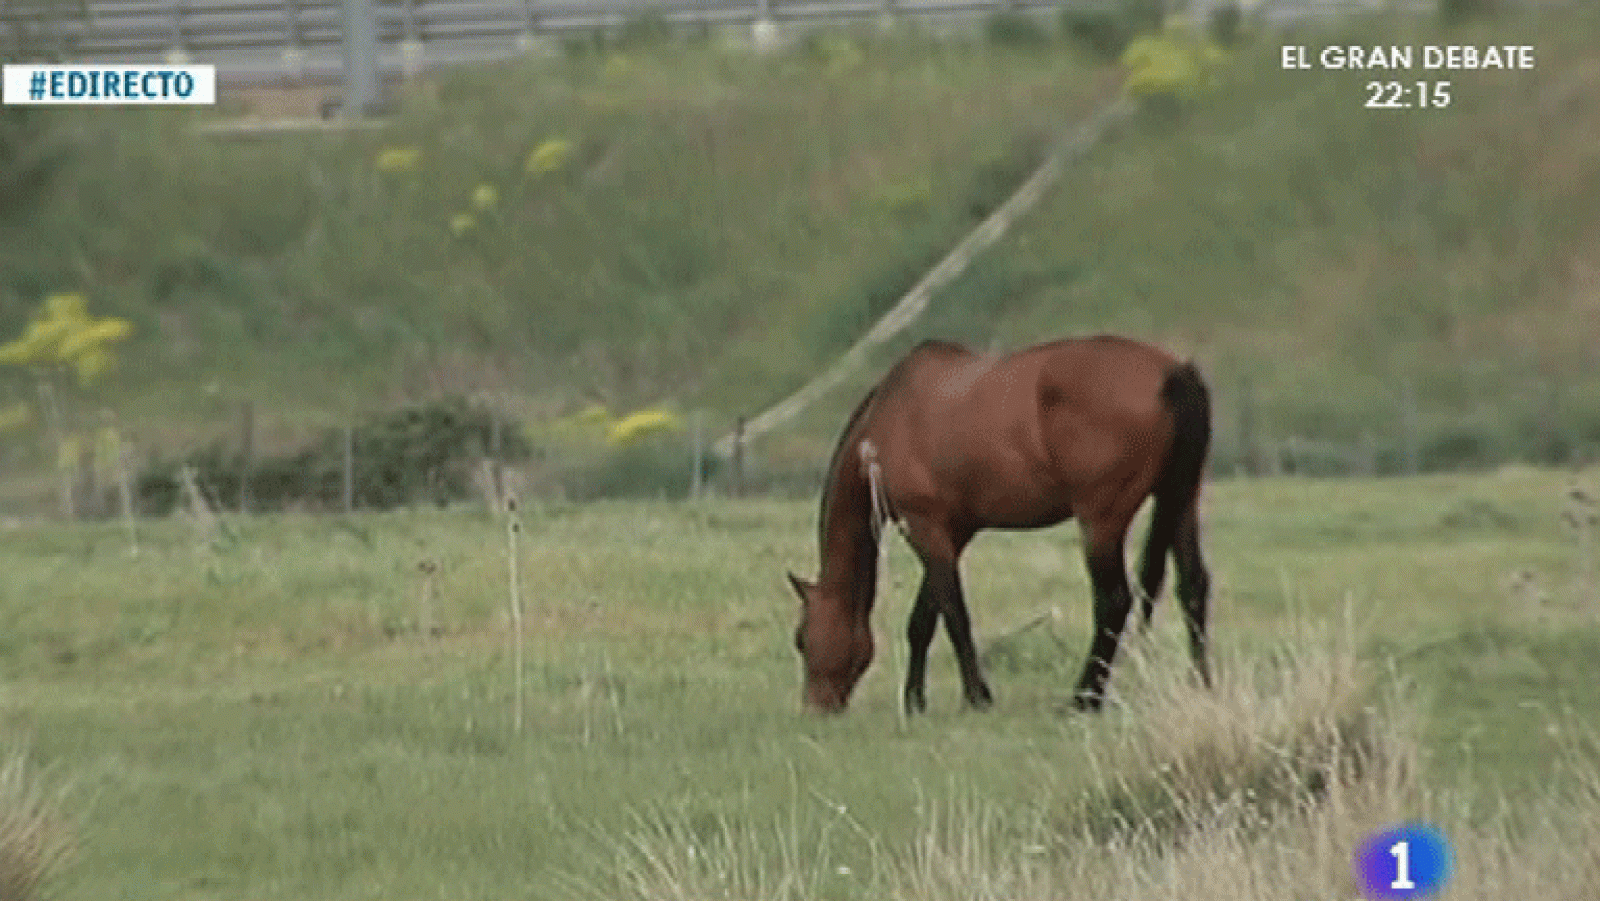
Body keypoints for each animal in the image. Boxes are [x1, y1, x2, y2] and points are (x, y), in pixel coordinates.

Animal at [785, 335, 1213, 715]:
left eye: (801, 639)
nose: (814, 709)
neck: (889, 419)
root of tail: (1174, 372)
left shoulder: (923, 526)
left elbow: (954, 615)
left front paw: (976, 697)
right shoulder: (952, 533)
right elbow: (924, 618)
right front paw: (915, 701)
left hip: (1102, 520)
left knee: (1114, 601)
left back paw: (1084, 699)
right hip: (1179, 499)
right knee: (1192, 586)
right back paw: (1200, 685)